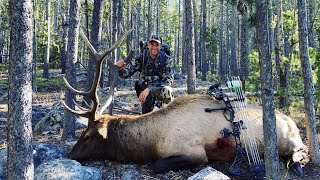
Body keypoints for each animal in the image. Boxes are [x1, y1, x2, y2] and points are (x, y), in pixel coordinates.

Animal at [62, 31, 308, 174]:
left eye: (87, 135)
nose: (70, 155)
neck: (152, 141)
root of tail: (293, 123)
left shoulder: (195, 152)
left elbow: (158, 164)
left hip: (289, 141)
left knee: (301, 150)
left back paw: (296, 165)